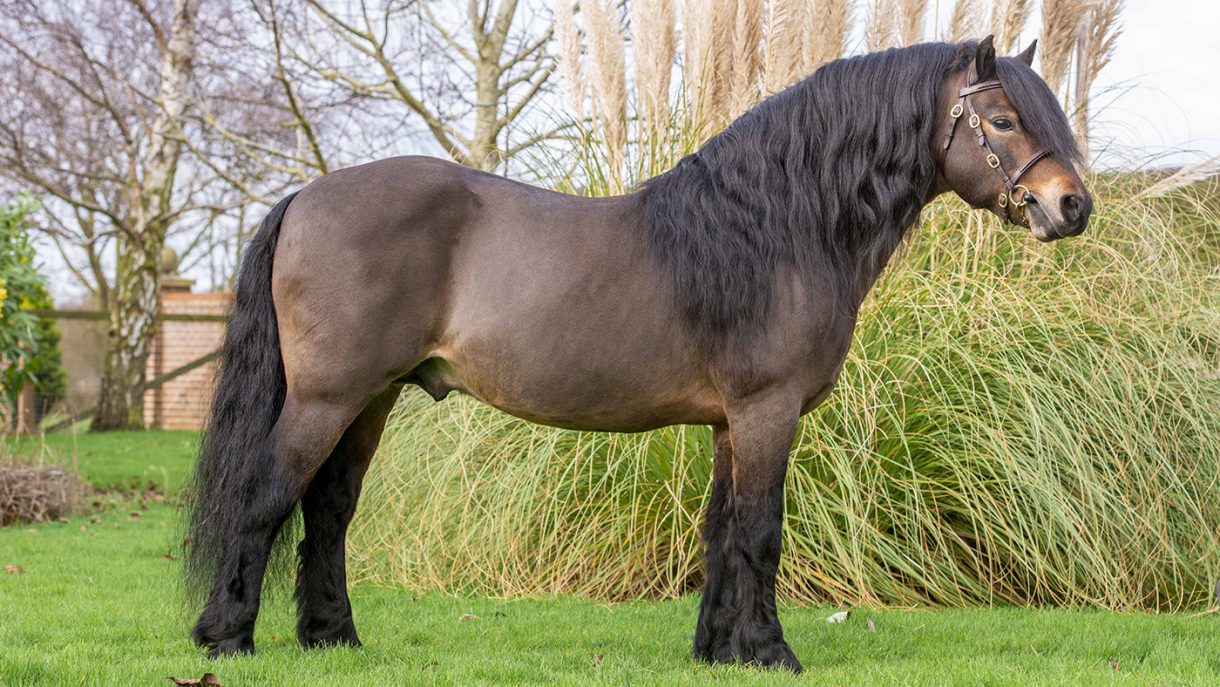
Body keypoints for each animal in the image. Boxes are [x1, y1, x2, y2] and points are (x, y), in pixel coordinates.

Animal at [185, 36, 1091, 672]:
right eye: (1003, 119)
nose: (1071, 205)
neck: (779, 227)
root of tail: (307, 194)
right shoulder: (768, 411)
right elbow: (762, 529)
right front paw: (772, 652)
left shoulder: (730, 421)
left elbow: (721, 529)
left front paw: (719, 650)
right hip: (327, 396)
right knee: (267, 495)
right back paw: (227, 637)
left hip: (371, 398)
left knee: (330, 508)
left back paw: (332, 636)